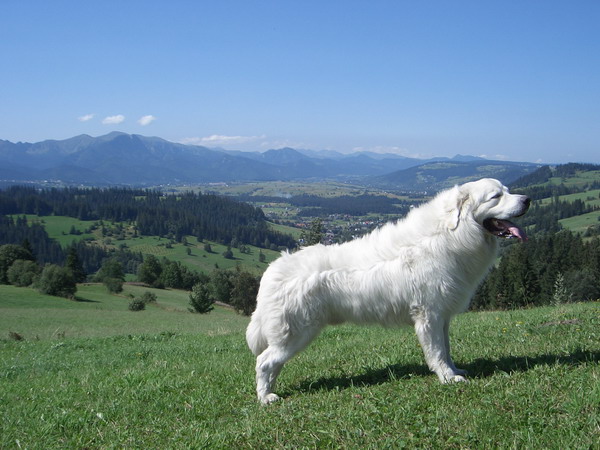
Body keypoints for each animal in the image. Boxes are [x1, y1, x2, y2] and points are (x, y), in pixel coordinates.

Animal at [246, 178, 528, 402]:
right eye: (496, 196)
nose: (527, 200)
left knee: (272, 363)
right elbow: (437, 352)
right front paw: (447, 378)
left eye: (507, 190)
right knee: (264, 362)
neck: (450, 235)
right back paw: (265, 398)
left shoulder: (442, 317)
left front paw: (454, 371)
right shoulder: (429, 315)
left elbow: (446, 350)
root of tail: (273, 271)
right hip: (295, 334)